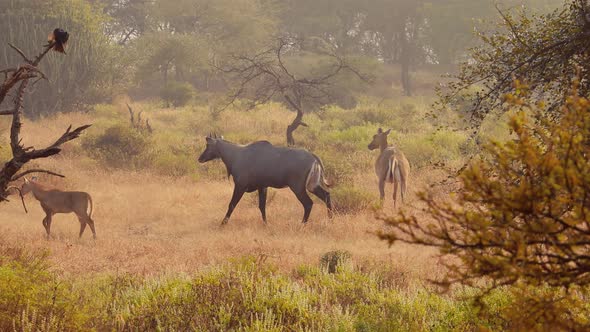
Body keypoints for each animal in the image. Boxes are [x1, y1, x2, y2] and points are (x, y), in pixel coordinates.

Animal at [199, 134, 332, 224]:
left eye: (208, 145)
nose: (200, 158)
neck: (236, 154)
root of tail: (313, 157)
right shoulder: (262, 186)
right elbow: (262, 206)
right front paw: (265, 224)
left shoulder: (240, 186)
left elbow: (232, 204)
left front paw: (222, 224)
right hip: (312, 185)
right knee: (326, 195)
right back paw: (330, 220)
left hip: (298, 187)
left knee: (308, 203)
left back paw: (302, 224)